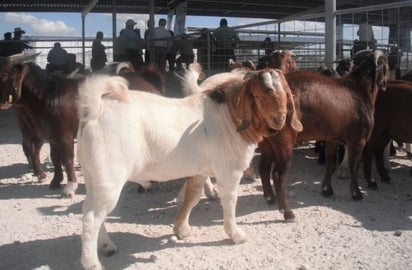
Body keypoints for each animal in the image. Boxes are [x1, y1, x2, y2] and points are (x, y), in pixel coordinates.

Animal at [76, 68, 296, 270]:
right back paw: (92, 263)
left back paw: (107, 246)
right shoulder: (229, 171)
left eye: (285, 92)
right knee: (91, 219)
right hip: (110, 178)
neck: (230, 116)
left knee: (90, 210)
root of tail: (96, 108)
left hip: (93, 176)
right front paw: (236, 235)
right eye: (257, 95)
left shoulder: (200, 171)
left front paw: (181, 229)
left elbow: (193, 196)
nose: (280, 118)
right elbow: (230, 201)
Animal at [258, 49, 390, 220]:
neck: (359, 89)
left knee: (264, 168)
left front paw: (327, 189)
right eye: (386, 63)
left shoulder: (332, 138)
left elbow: (331, 162)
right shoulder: (358, 140)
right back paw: (287, 212)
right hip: (284, 140)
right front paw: (356, 193)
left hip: (267, 141)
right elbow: (354, 165)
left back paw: (270, 198)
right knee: (278, 175)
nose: (386, 82)